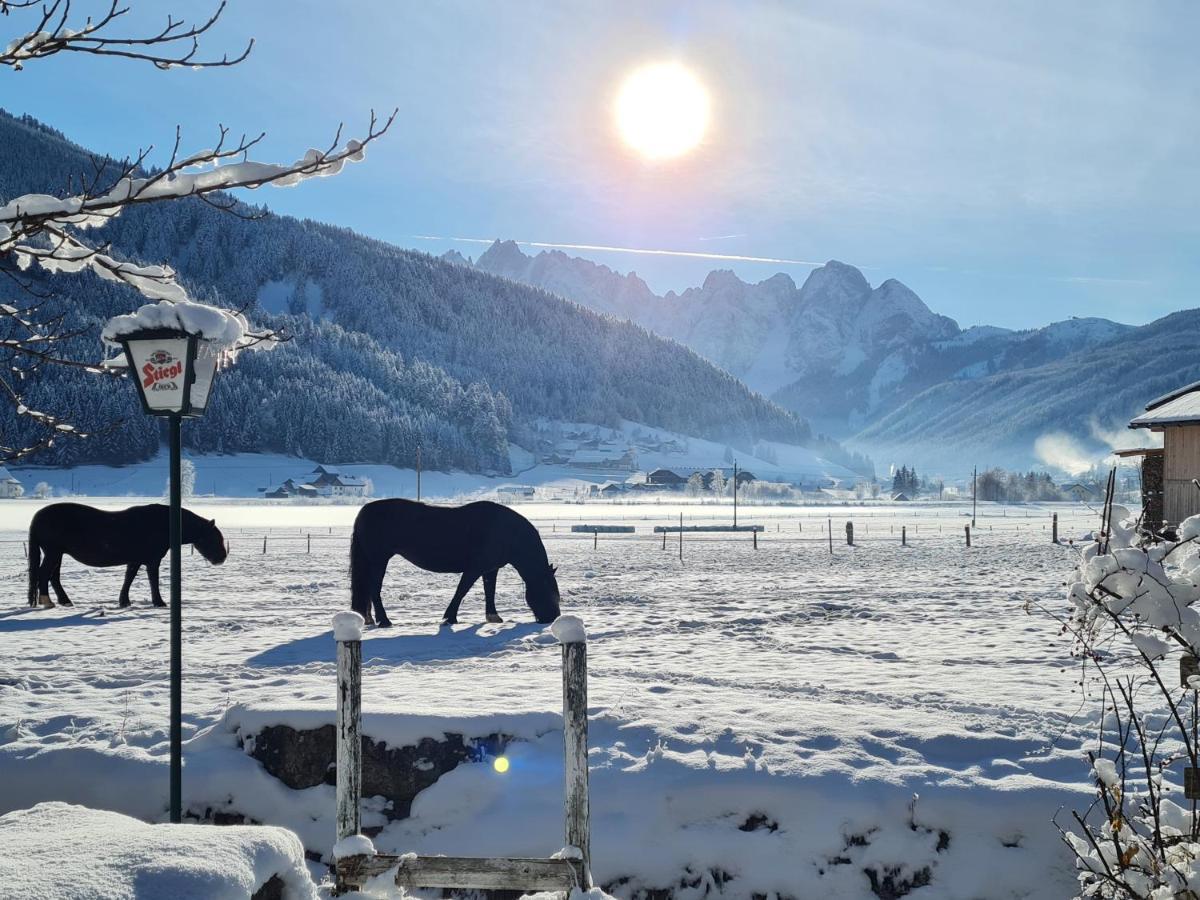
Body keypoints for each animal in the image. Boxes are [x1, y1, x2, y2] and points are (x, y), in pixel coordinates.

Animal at [27, 504, 229, 609]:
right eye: (214, 538)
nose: (222, 558)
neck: (163, 524)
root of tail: (38, 516)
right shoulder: (152, 561)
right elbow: (153, 581)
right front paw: (159, 602)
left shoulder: (135, 560)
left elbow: (128, 579)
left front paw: (124, 601)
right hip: (53, 552)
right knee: (44, 574)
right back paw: (48, 602)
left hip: (57, 554)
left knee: (53, 577)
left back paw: (65, 601)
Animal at [350, 501, 559, 628]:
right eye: (549, 592)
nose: (553, 618)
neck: (508, 533)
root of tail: (364, 510)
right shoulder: (474, 568)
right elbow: (462, 590)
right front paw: (450, 617)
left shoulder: (490, 570)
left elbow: (489, 591)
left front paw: (493, 617)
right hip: (379, 560)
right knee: (374, 588)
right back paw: (384, 620)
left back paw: (368, 619)